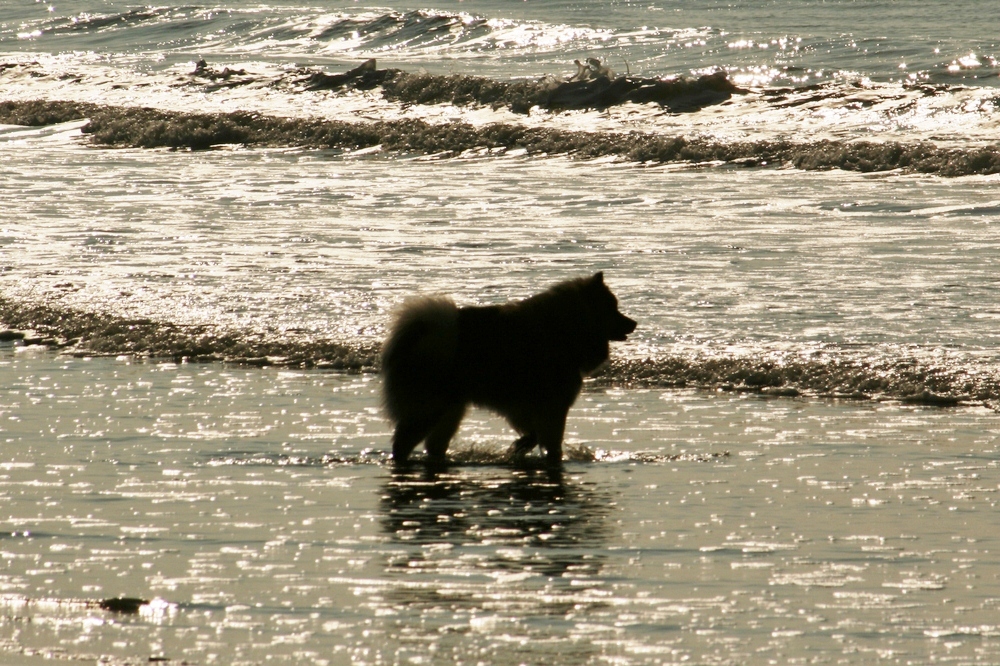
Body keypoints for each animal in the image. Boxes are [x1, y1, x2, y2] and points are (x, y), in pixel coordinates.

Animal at [378, 270, 636, 462]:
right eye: (613, 308)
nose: (634, 323)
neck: (564, 328)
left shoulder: (524, 408)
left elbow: (533, 435)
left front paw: (519, 447)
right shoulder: (553, 407)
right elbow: (551, 443)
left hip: (450, 411)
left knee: (433, 445)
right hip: (429, 409)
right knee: (402, 443)